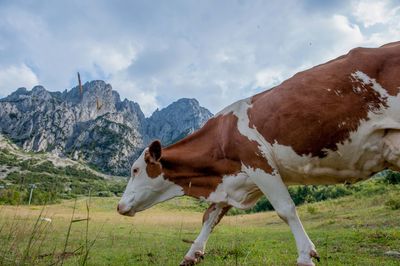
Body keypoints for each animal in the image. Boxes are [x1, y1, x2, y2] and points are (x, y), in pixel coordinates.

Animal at [117, 41, 400, 264]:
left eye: (135, 170)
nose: (119, 206)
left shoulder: (258, 163)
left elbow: (286, 209)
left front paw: (306, 256)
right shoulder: (233, 179)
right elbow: (209, 217)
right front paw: (191, 254)